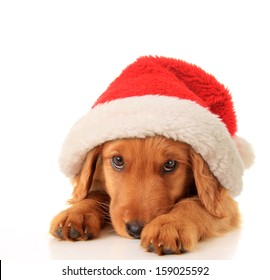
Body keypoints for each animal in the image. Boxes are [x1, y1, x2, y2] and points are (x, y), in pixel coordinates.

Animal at [49, 136, 239, 256]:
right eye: (118, 160)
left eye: (170, 164)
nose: (136, 230)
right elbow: (98, 194)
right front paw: (76, 213)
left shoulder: (225, 202)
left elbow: (196, 202)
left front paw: (170, 224)